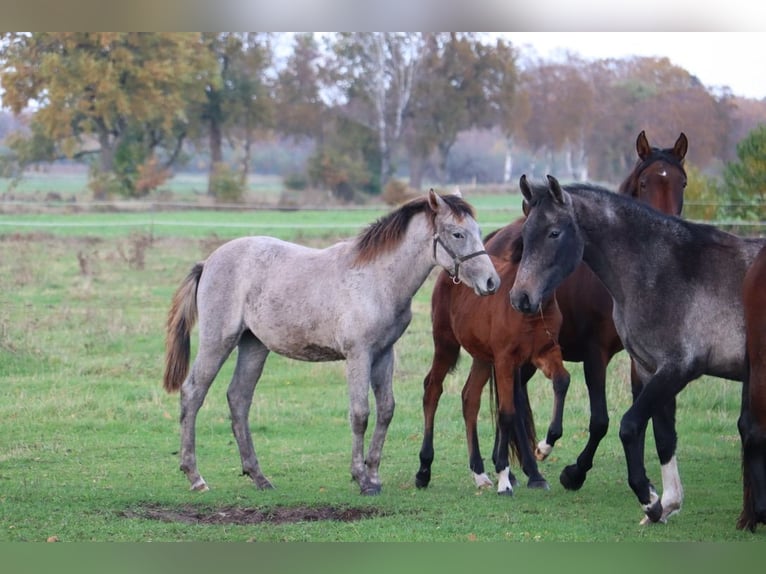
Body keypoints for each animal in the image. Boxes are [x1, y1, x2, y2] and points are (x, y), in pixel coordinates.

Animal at [163, 190, 500, 495]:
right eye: (458, 234)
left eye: (478, 231)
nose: (491, 282)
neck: (377, 279)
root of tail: (209, 262)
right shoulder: (358, 355)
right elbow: (360, 414)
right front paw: (362, 479)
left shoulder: (383, 354)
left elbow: (386, 410)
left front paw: (374, 474)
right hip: (218, 341)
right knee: (193, 393)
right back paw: (195, 476)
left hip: (254, 345)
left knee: (238, 398)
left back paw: (258, 476)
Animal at [415, 252, 569, 494]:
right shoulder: (505, 360)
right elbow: (506, 412)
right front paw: (505, 478)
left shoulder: (545, 352)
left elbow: (563, 380)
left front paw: (545, 446)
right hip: (446, 343)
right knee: (432, 390)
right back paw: (423, 471)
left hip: (483, 357)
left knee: (470, 396)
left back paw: (479, 473)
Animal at [487, 131, 688, 495]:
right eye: (644, 183)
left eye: (682, 181)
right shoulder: (596, 353)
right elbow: (600, 421)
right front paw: (575, 473)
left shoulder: (642, 358)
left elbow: (642, 412)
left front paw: (643, 478)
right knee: (515, 399)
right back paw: (531, 470)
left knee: (514, 397)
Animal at [509, 174, 766, 529]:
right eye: (525, 234)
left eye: (554, 233)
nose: (521, 298)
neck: (660, 272)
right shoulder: (650, 369)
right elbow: (664, 436)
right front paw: (667, 503)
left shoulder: (677, 370)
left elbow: (630, 426)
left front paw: (649, 499)